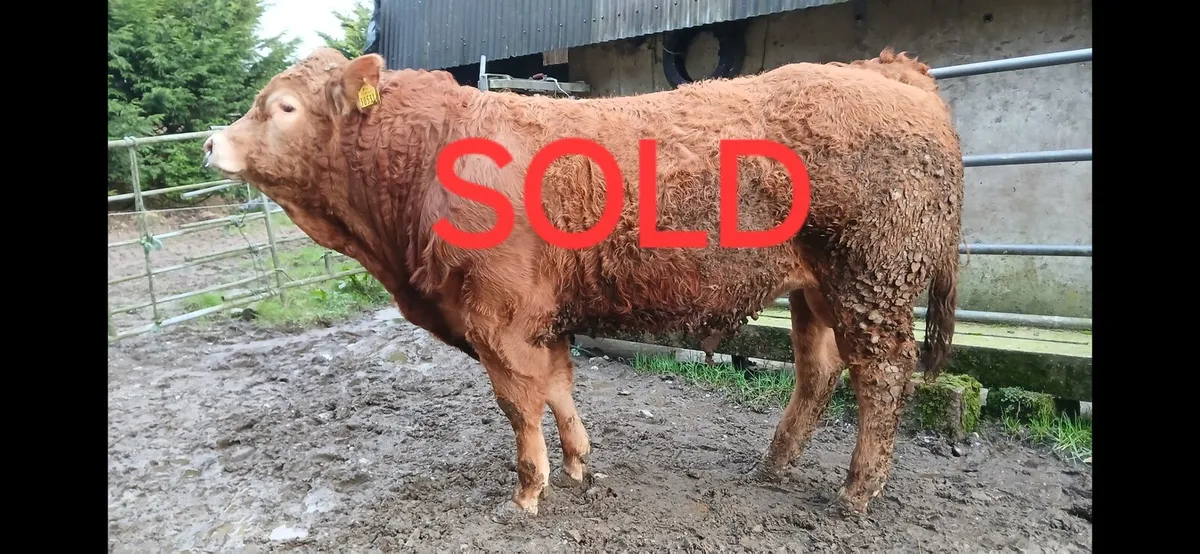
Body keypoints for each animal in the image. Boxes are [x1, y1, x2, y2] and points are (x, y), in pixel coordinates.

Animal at [202, 47, 963, 520]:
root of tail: (885, 70)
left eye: (285, 108)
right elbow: (559, 388)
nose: (211, 141)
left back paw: (857, 493)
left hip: (872, 277)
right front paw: (577, 466)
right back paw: (773, 467)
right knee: (819, 372)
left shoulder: (496, 318)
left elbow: (519, 404)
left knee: (882, 376)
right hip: (816, 288)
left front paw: (527, 494)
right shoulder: (543, 317)